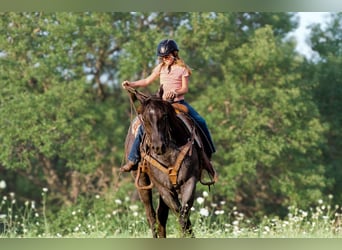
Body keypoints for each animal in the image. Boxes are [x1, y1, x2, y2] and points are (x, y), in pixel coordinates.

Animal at [123, 86, 214, 238]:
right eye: (145, 118)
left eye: (164, 116)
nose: (158, 147)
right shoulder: (164, 188)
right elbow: (178, 213)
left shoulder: (189, 181)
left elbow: (184, 213)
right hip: (142, 182)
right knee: (151, 215)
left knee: (161, 214)